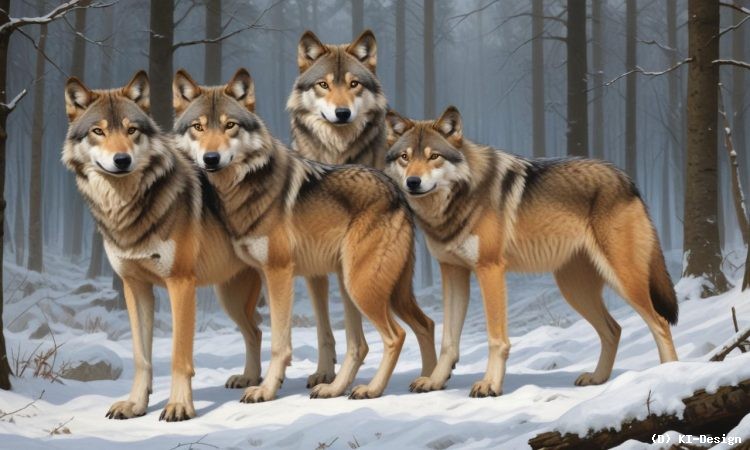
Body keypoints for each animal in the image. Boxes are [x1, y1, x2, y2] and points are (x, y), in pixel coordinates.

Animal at [62, 72, 264, 421]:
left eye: (131, 130)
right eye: (98, 131)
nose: (122, 160)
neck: (128, 210)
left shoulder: (180, 284)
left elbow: (178, 356)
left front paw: (180, 406)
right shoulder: (134, 286)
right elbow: (141, 356)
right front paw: (135, 405)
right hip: (231, 300)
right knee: (256, 332)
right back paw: (249, 378)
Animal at [172, 68, 437, 401]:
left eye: (230, 125)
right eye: (198, 127)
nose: (210, 158)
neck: (240, 188)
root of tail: (398, 192)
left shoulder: (280, 272)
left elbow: (279, 344)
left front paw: (266, 390)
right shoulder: (269, 274)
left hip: (362, 287)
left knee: (396, 335)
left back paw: (372, 389)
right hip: (369, 288)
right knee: (397, 333)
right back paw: (411, 382)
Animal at [287, 29, 390, 387]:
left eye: (354, 84)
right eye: (324, 85)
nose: (342, 113)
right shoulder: (314, 266)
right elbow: (324, 328)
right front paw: (324, 371)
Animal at [384, 106, 678, 397]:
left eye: (433, 156)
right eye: (404, 157)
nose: (413, 182)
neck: (457, 199)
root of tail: (627, 179)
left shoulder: (490, 270)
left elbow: (496, 338)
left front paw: (490, 384)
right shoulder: (452, 272)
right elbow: (449, 339)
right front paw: (434, 381)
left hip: (623, 281)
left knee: (660, 323)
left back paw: (669, 374)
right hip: (574, 289)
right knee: (614, 329)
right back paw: (597, 378)